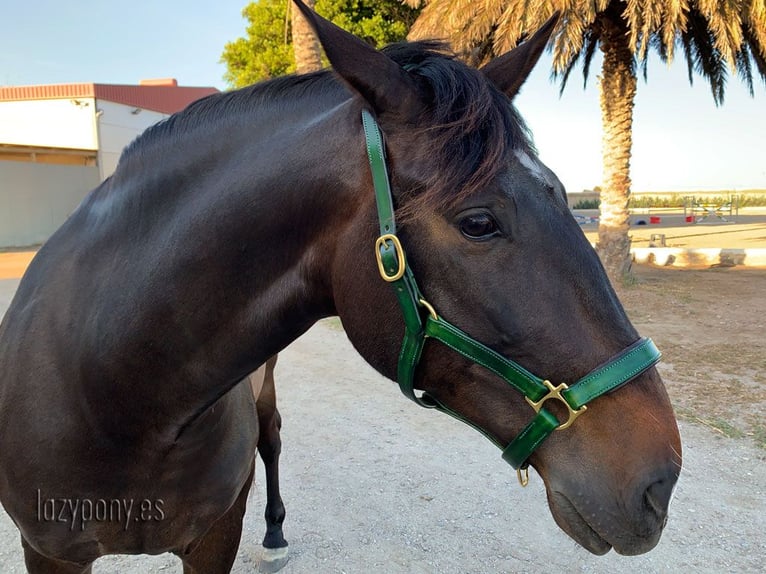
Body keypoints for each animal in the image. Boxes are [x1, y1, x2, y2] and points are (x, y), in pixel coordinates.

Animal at [0, 2, 684, 572]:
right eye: (479, 222)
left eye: (563, 196)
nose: (660, 483)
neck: (118, 391)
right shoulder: (51, 552)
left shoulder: (215, 538)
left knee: (273, 436)